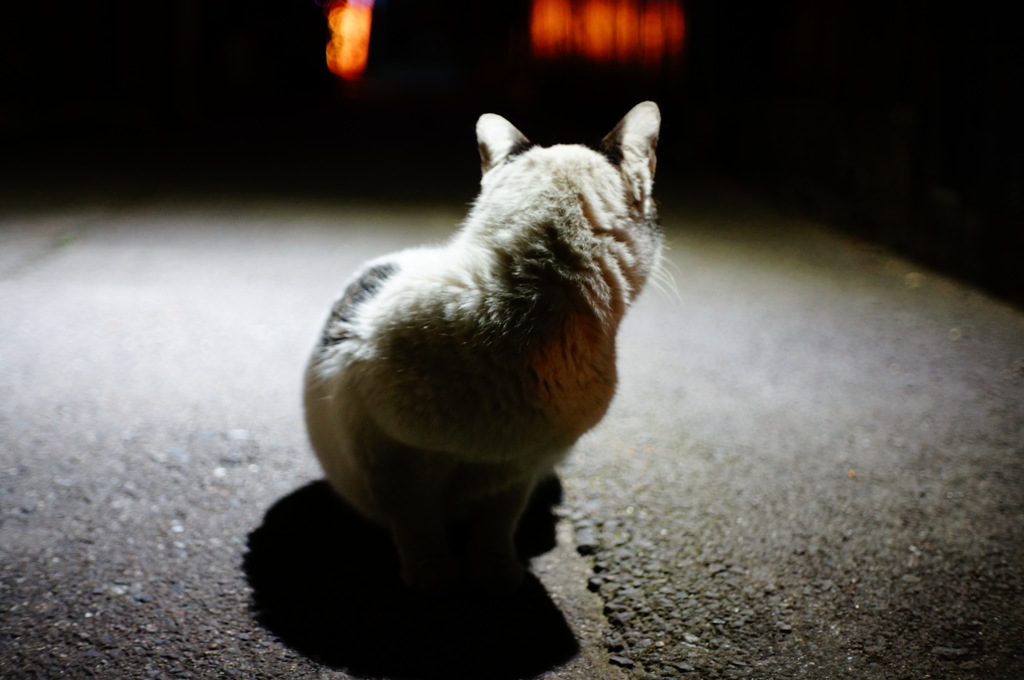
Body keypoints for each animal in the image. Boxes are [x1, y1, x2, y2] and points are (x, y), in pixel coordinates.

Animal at [301, 100, 663, 593]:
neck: (528, 300)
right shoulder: (389, 458)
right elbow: (415, 524)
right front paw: (433, 572)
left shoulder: (521, 467)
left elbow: (499, 521)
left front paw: (494, 568)